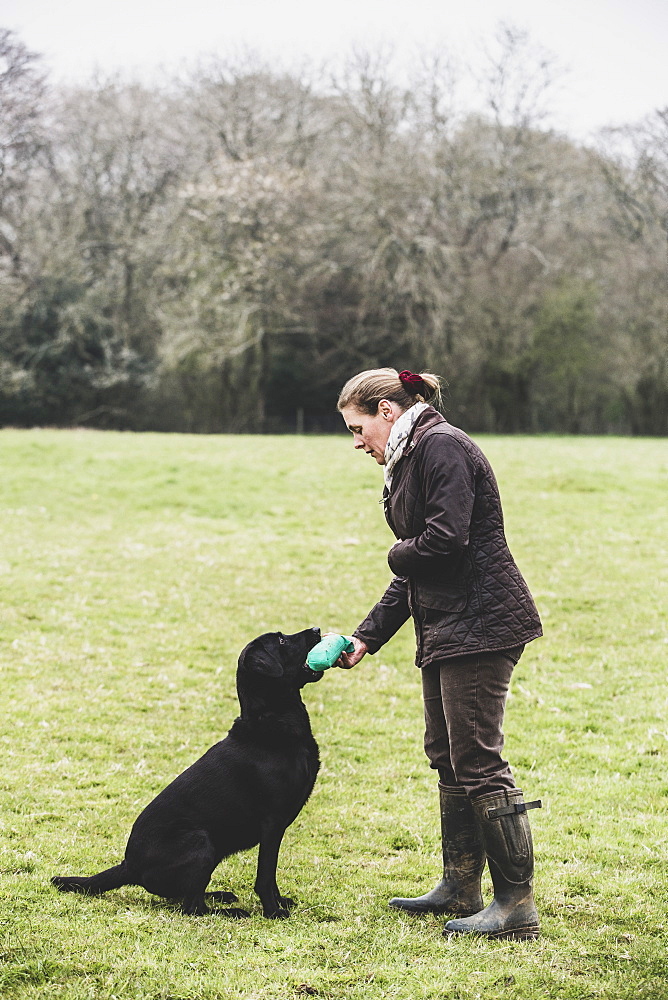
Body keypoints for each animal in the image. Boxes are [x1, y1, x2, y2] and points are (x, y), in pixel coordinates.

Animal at [52, 628, 324, 916]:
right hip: (200, 841)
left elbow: (271, 878)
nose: (317, 629)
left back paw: (219, 896)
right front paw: (273, 911)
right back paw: (229, 911)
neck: (272, 719)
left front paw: (280, 902)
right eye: (282, 640)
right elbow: (265, 876)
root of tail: (129, 866)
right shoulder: (271, 824)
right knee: (192, 906)